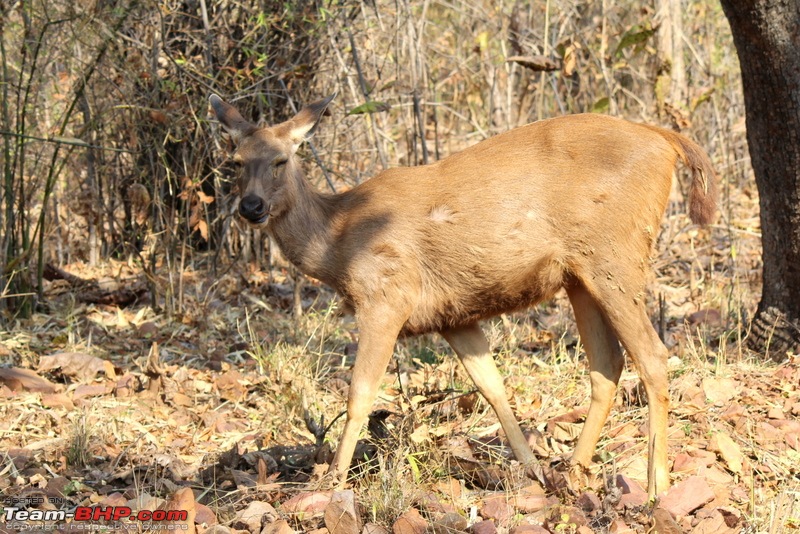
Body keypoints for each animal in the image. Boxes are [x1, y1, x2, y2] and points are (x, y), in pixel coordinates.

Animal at [211, 93, 720, 498]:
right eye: (234, 162)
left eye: (281, 160)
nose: (251, 206)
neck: (337, 243)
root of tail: (665, 140)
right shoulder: (453, 317)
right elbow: (493, 388)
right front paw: (532, 470)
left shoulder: (386, 296)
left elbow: (359, 393)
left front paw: (331, 481)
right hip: (580, 274)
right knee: (607, 364)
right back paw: (573, 472)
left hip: (615, 254)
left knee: (652, 355)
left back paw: (656, 485)